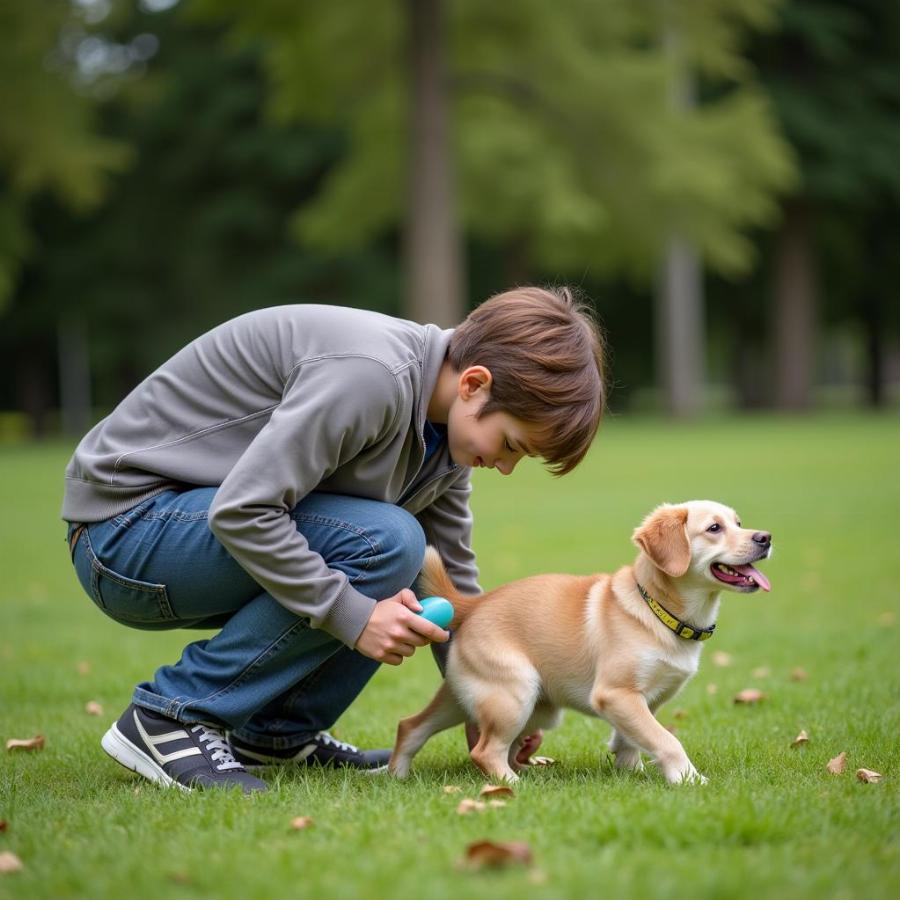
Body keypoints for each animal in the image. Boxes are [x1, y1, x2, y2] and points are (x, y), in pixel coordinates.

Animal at [388, 502, 772, 784]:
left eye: (739, 522)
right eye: (714, 528)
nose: (766, 537)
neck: (658, 610)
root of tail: (475, 604)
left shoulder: (646, 700)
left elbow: (632, 739)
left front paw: (630, 771)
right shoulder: (616, 694)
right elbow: (666, 739)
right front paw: (688, 779)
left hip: (483, 699)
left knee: (412, 725)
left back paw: (397, 775)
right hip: (514, 694)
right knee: (484, 751)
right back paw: (511, 784)